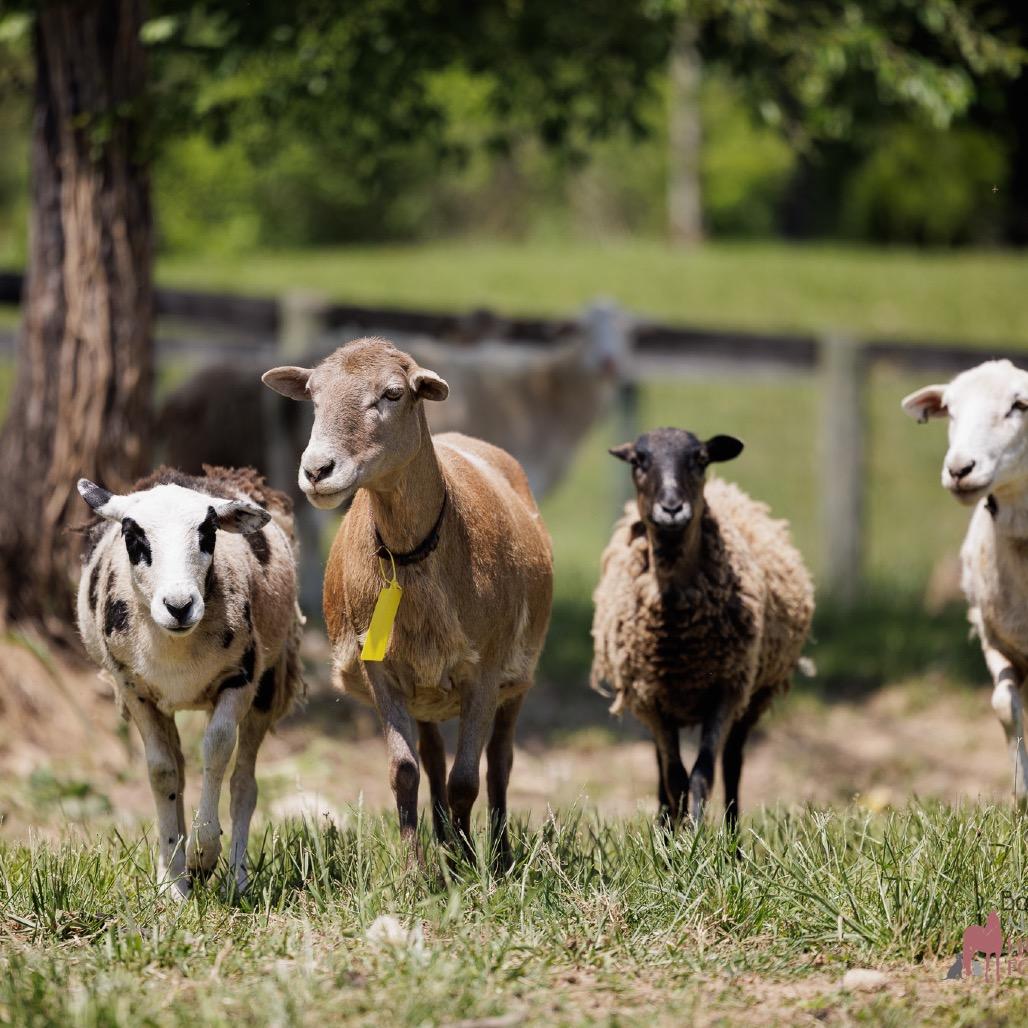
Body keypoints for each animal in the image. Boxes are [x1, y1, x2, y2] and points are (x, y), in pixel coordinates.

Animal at [75, 465, 304, 896]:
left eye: (208, 532)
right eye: (134, 537)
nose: (179, 606)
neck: (176, 649)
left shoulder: (240, 679)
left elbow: (216, 751)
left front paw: (204, 854)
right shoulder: (134, 689)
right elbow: (162, 772)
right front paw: (173, 882)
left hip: (269, 683)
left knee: (244, 784)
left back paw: (235, 880)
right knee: (179, 774)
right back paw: (177, 870)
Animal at [262, 338, 553, 867]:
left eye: (393, 394)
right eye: (313, 395)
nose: (316, 470)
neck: (409, 555)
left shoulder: (485, 671)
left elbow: (467, 780)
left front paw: (469, 866)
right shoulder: (382, 669)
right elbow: (404, 770)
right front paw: (418, 869)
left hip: (518, 671)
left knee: (500, 762)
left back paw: (498, 852)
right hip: (426, 685)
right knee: (434, 757)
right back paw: (443, 840)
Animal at [590, 428, 814, 828]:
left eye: (699, 459)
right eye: (638, 460)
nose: (672, 508)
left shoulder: (726, 690)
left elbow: (702, 775)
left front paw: (695, 834)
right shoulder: (651, 698)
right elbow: (674, 777)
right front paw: (673, 838)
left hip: (754, 693)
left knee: (733, 762)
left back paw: (733, 834)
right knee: (661, 766)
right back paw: (665, 825)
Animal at [902, 360, 1028, 800]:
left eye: (1019, 405)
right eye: (951, 411)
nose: (959, 469)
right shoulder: (994, 639)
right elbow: (1003, 705)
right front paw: (1021, 796)